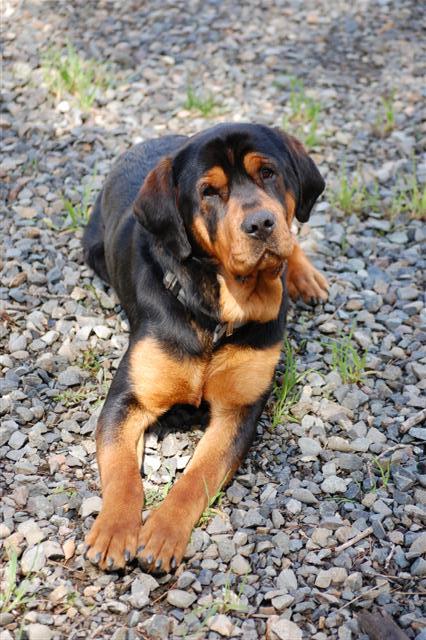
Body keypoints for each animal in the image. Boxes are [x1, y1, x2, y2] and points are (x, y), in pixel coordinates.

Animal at [81, 122, 328, 572]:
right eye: (209, 192)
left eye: (268, 173)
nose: (261, 224)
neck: (216, 313)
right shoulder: (127, 400)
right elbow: (123, 472)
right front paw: (114, 530)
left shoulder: (239, 408)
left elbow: (198, 475)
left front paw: (162, 533)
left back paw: (305, 275)